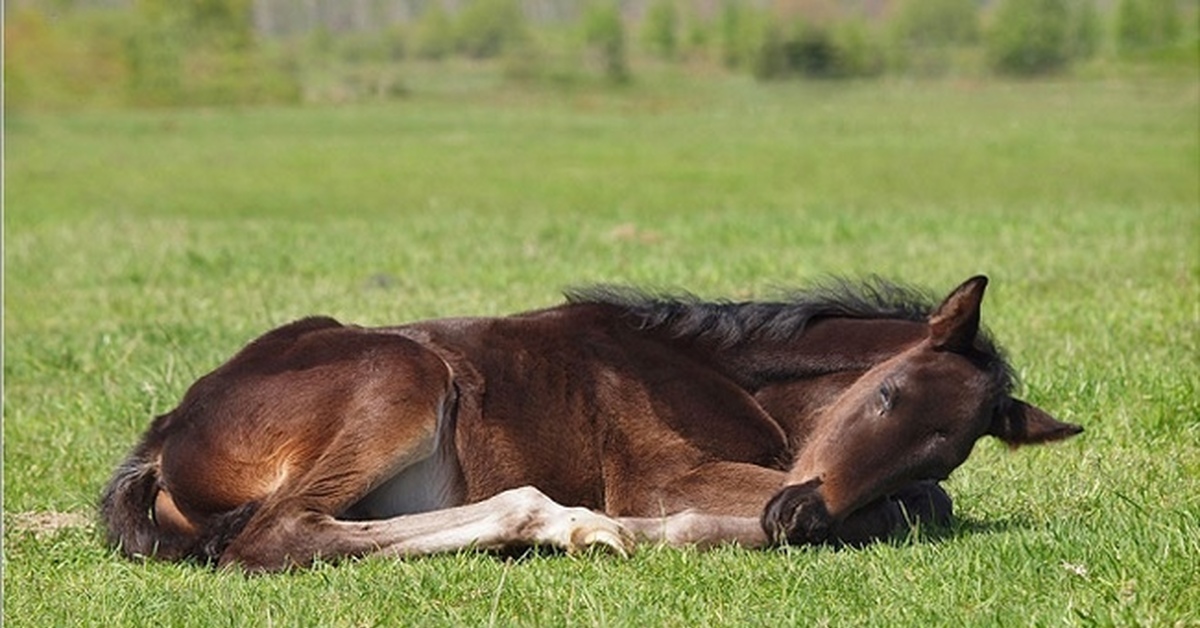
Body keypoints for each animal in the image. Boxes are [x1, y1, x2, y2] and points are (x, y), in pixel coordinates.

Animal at [100, 273, 1080, 569]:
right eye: (884, 395)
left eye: (940, 455)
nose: (797, 516)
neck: (721, 368)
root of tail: (168, 429)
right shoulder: (663, 471)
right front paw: (652, 528)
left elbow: (918, 510)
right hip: (399, 372)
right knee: (280, 534)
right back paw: (563, 523)